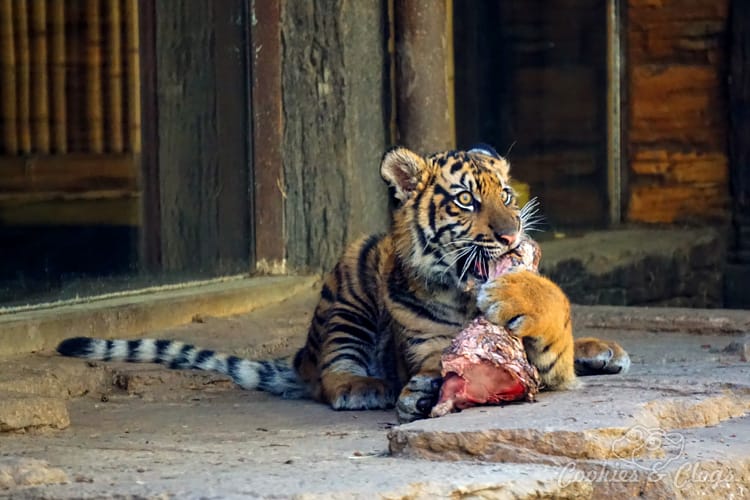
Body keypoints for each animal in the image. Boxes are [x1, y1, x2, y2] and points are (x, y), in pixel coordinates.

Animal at [57, 145, 630, 423]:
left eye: (506, 196)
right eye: (467, 200)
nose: (512, 236)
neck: (463, 296)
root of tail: (302, 357)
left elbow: (554, 311)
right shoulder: (424, 347)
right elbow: (433, 367)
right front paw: (419, 392)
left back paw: (604, 349)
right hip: (348, 285)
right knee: (330, 375)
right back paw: (363, 387)